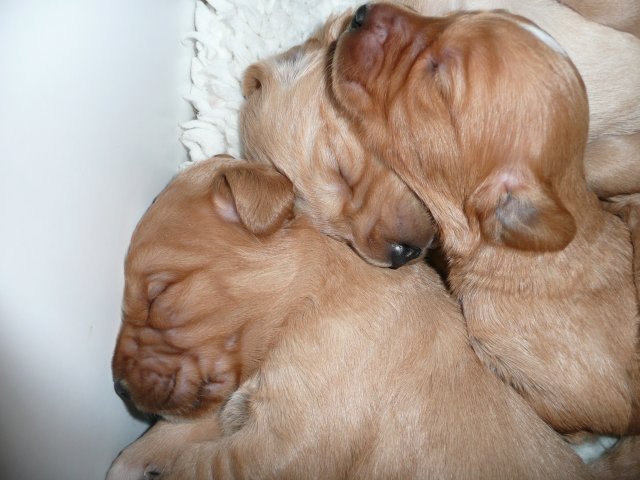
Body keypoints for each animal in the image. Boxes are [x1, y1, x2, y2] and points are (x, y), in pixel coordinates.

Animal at [108, 157, 595, 479]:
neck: (307, 300)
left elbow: (201, 465)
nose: (119, 391)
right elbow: (182, 429)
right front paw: (134, 458)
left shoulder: (285, 444)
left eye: (158, 294)